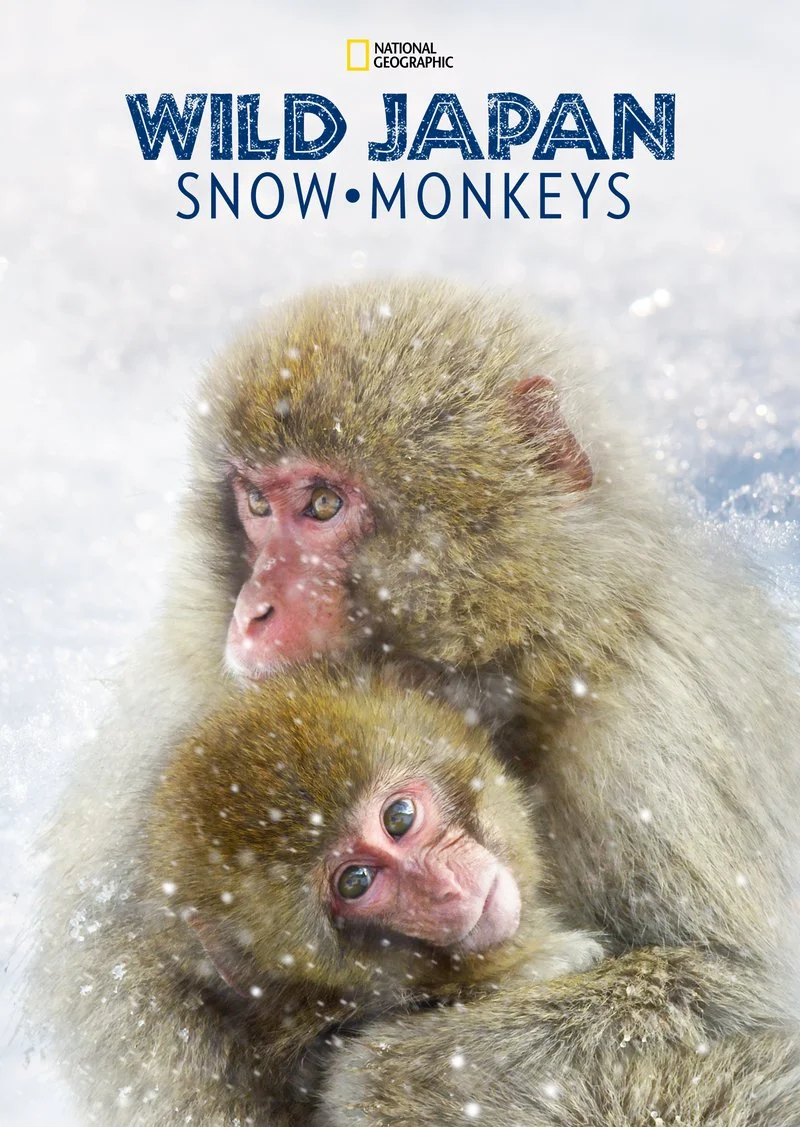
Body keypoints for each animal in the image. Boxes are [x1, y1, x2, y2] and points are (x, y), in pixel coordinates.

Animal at [28, 280, 800, 1111]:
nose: (252, 609)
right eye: (256, 506)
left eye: (322, 504)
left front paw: (370, 1069)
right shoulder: (189, 679)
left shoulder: (657, 725)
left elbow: (741, 992)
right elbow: (107, 970)